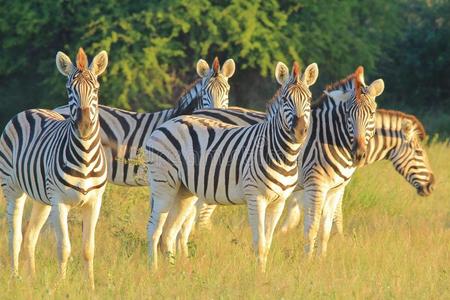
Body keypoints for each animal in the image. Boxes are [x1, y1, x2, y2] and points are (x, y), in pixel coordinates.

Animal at [0, 48, 108, 288]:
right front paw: (63, 285)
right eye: (69, 90)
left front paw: (90, 287)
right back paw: (15, 277)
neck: (85, 157)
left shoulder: (94, 202)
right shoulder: (60, 202)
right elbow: (64, 248)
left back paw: (32, 279)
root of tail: (30, 109)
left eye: (96, 89)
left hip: (42, 199)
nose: (84, 126)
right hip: (13, 189)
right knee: (15, 235)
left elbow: (88, 249)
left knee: (30, 237)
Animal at [146, 61, 318, 272]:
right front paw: (258, 277)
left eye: (308, 99)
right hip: (163, 185)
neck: (283, 155)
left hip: (184, 191)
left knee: (169, 233)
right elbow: (260, 244)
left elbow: (268, 244)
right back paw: (154, 271)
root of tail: (167, 123)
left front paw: (264, 274)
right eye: (286, 99)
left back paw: (174, 273)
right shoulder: (256, 198)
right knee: (154, 230)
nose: (300, 131)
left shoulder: (279, 202)